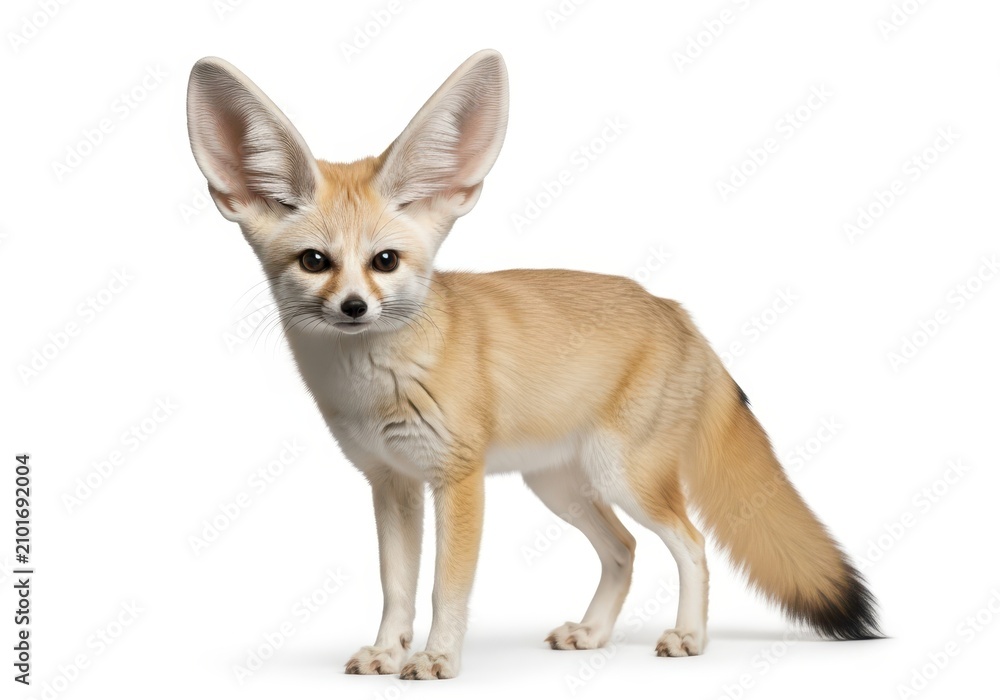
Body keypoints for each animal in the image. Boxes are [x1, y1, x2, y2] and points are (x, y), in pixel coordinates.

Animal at [186, 49, 880, 680]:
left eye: (384, 261)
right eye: (315, 262)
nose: (354, 308)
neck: (376, 388)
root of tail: (674, 309)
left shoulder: (457, 479)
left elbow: (445, 587)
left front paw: (438, 658)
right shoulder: (391, 483)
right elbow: (397, 587)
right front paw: (387, 653)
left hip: (624, 477)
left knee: (693, 543)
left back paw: (689, 636)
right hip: (562, 488)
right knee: (624, 549)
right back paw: (594, 633)